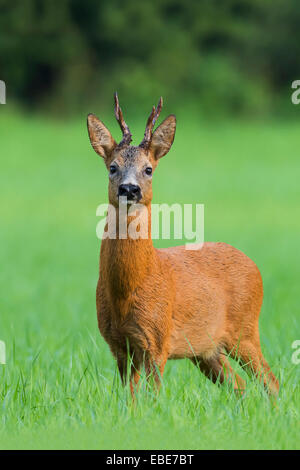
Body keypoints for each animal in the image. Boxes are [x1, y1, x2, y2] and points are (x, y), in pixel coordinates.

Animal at [86, 94, 278, 396]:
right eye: (112, 167)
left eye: (148, 169)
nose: (129, 189)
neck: (128, 288)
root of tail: (253, 264)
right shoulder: (119, 345)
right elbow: (128, 399)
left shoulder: (157, 340)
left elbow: (153, 397)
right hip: (206, 350)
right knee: (239, 384)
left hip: (245, 330)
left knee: (271, 382)